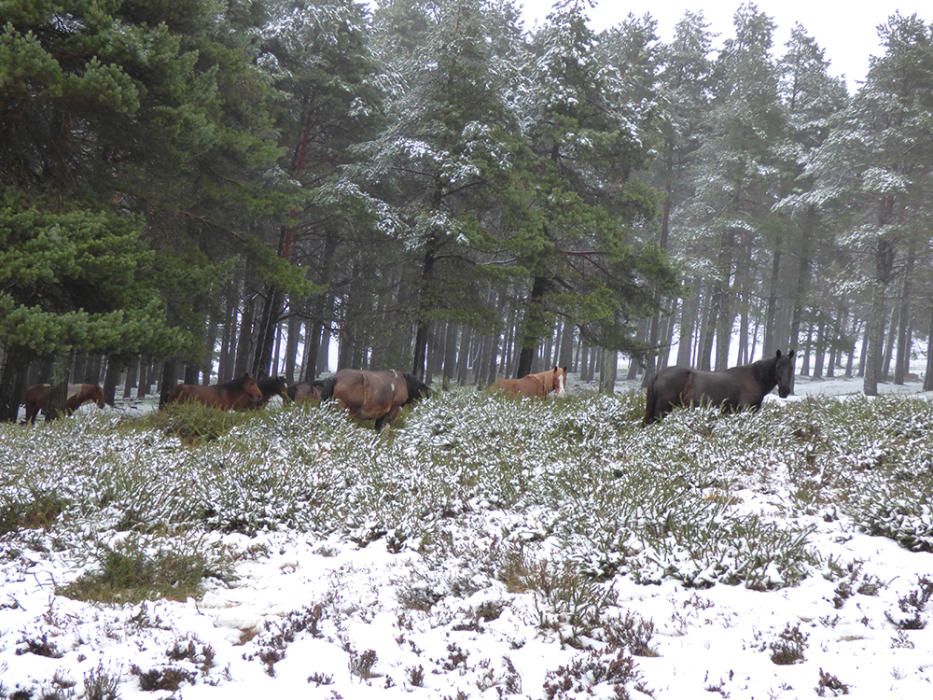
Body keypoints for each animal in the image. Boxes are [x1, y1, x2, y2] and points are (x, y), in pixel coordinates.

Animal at [644, 348, 796, 424]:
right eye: (778, 367)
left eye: (791, 368)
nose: (784, 391)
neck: (754, 378)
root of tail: (658, 374)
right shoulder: (745, 410)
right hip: (662, 409)